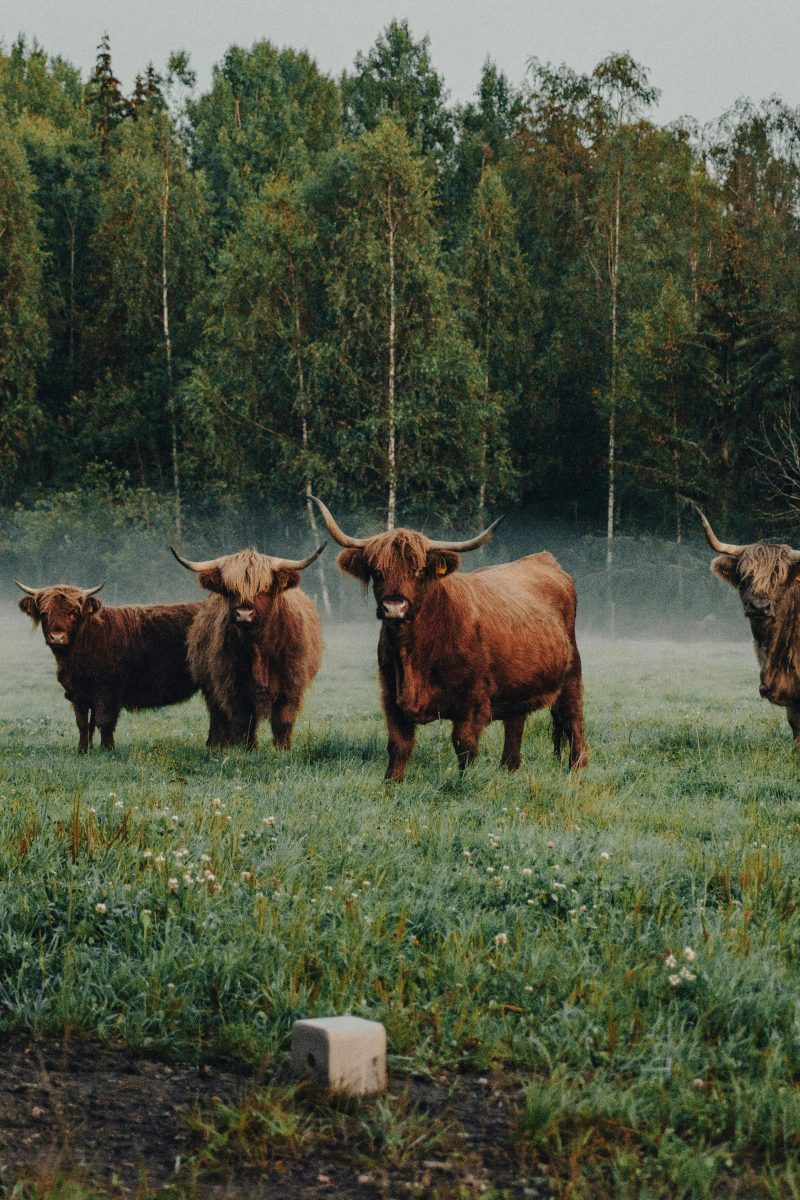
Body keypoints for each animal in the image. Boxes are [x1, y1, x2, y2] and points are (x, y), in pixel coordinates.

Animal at [15, 581, 201, 752]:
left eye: (74, 613)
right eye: (44, 613)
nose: (57, 637)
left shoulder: (108, 691)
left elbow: (104, 721)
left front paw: (107, 749)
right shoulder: (78, 693)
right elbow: (83, 723)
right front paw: (83, 750)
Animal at [170, 543, 325, 750]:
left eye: (264, 588)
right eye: (229, 589)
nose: (244, 614)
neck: (258, 647)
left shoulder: (291, 683)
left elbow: (282, 720)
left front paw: (282, 749)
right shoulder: (233, 685)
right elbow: (244, 720)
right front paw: (247, 749)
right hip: (211, 687)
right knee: (218, 716)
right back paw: (216, 745)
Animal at [309, 497, 588, 781]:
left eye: (420, 571)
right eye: (377, 571)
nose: (394, 607)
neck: (414, 652)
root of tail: (544, 559)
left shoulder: (472, 701)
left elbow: (464, 745)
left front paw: (465, 783)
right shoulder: (391, 697)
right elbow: (398, 746)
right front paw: (391, 784)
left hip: (571, 673)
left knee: (573, 718)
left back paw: (576, 770)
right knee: (515, 726)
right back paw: (508, 769)